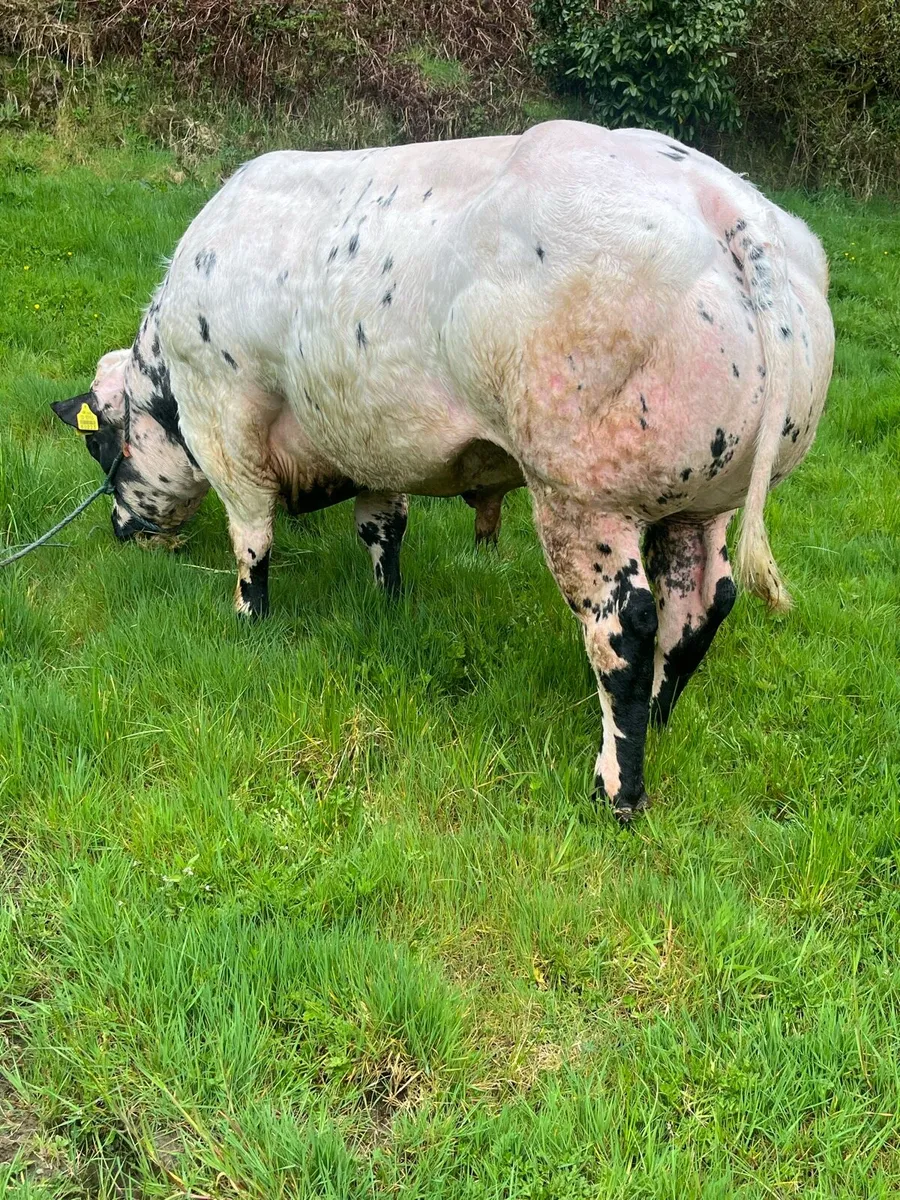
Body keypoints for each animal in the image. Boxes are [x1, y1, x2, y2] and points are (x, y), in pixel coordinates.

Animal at [50, 121, 834, 821]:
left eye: (101, 446)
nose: (122, 530)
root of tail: (725, 204)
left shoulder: (226, 416)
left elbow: (251, 537)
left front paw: (248, 619)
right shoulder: (369, 434)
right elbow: (381, 527)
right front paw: (387, 604)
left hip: (583, 494)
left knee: (628, 627)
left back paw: (618, 788)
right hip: (700, 499)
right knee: (701, 604)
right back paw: (663, 717)